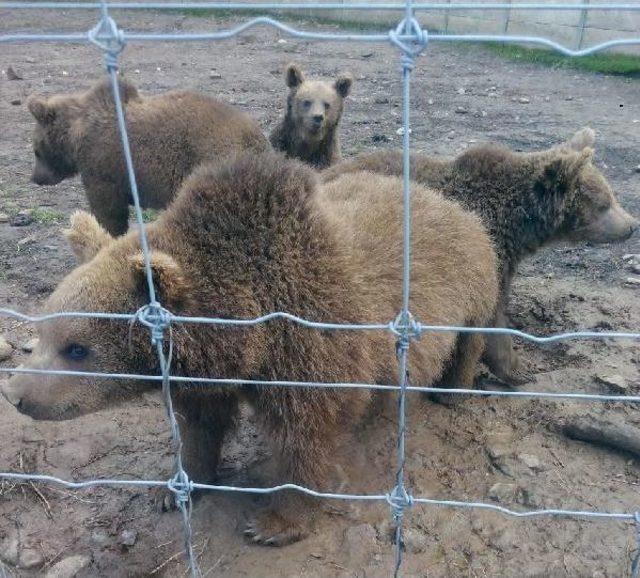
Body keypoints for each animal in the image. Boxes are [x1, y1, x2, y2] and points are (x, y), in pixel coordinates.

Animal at [2, 150, 498, 544]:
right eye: (44, 332)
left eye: (77, 348)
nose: (17, 394)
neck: (245, 334)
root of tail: (446, 201)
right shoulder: (205, 376)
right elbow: (201, 426)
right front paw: (177, 487)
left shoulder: (311, 344)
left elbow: (307, 438)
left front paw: (275, 523)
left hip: (469, 287)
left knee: (468, 338)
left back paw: (450, 390)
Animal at [25, 76, 268, 234]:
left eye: (36, 150)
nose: (36, 177)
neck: (76, 136)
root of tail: (253, 133)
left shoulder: (103, 168)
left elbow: (109, 213)